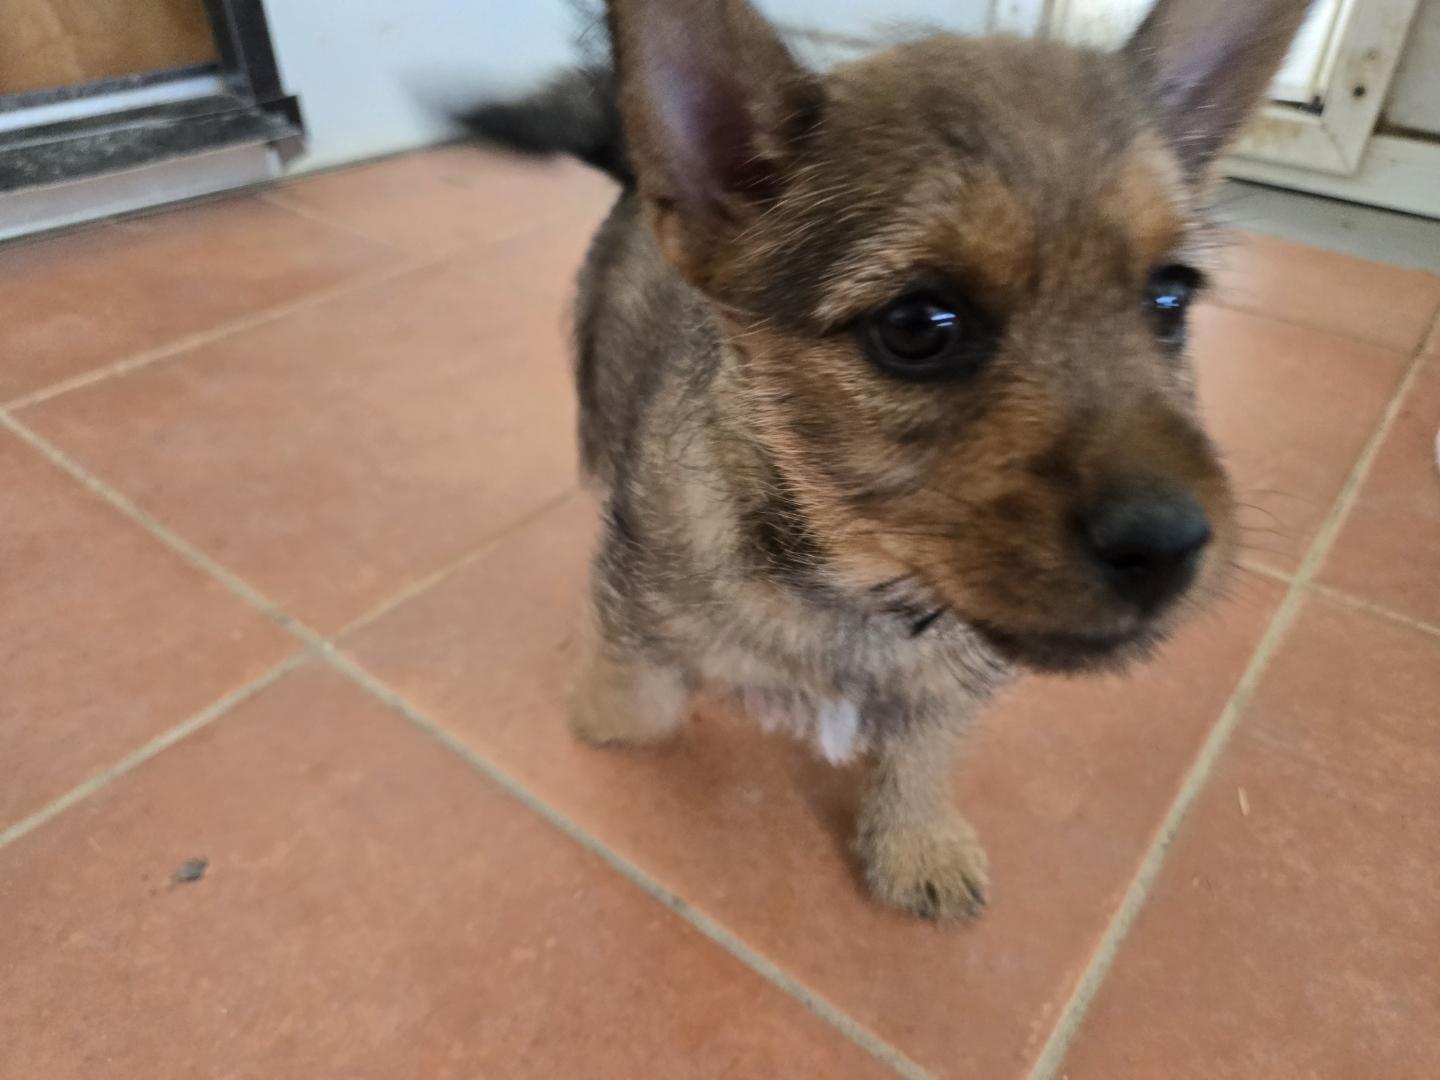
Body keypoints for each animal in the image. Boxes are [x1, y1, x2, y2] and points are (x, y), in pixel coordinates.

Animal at [461, 0, 1314, 919]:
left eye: (1170, 298)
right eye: (916, 326)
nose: (1169, 545)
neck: (858, 590)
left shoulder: (954, 678)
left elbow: (926, 746)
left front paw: (917, 838)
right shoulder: (640, 603)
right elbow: (640, 703)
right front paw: (602, 704)